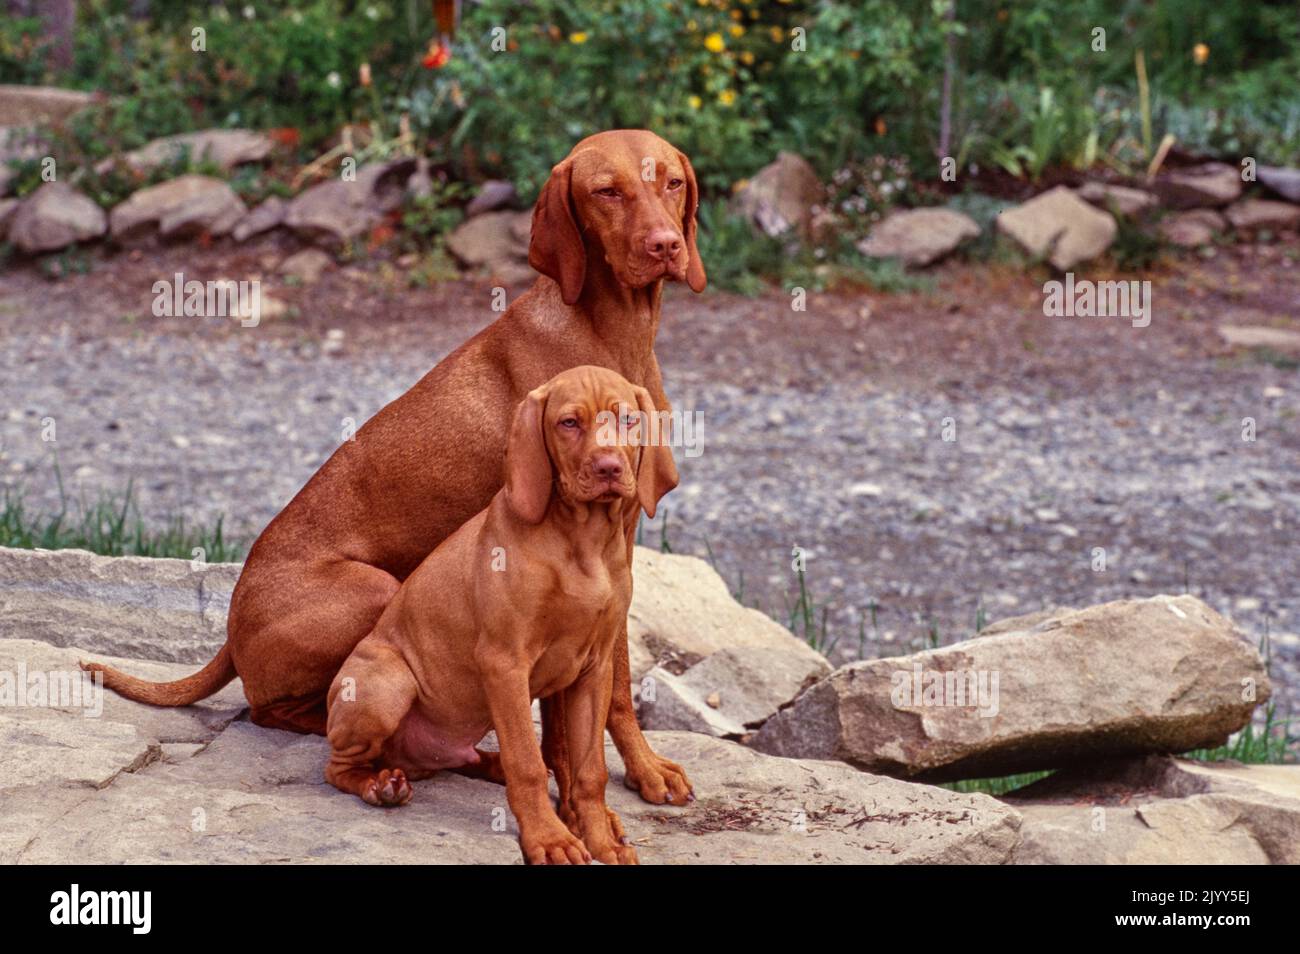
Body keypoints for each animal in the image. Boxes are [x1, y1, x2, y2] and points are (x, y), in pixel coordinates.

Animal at [81, 130, 707, 805]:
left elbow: (610, 683)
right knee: (271, 707)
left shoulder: (619, 539)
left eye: (672, 183)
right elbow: (593, 693)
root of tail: (230, 627)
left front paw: (635, 769)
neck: (616, 332)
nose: (665, 246)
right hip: (375, 593)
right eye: (606, 191)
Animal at [325, 366, 670, 868]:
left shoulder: (595, 668)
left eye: (627, 419)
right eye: (569, 423)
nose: (608, 467)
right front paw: (549, 839)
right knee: (338, 766)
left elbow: (590, 769)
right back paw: (379, 785)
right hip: (387, 684)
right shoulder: (504, 663)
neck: (581, 542)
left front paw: (602, 841)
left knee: (466, 758)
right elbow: (526, 763)